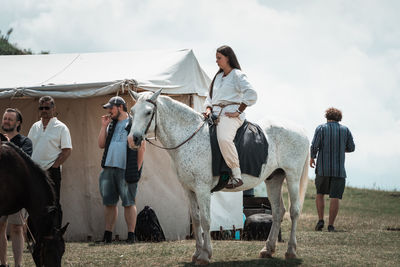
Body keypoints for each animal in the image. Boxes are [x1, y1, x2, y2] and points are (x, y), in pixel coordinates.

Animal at [128, 89, 310, 264]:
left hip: (292, 177)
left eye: (148, 112)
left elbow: (206, 220)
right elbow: (196, 220)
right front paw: (197, 253)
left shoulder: (202, 189)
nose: (133, 139)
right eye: (132, 111)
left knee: (294, 211)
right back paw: (268, 249)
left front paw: (205, 255)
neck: (189, 138)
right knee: (278, 212)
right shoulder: (189, 190)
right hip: (274, 179)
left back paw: (291, 250)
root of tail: (301, 130)